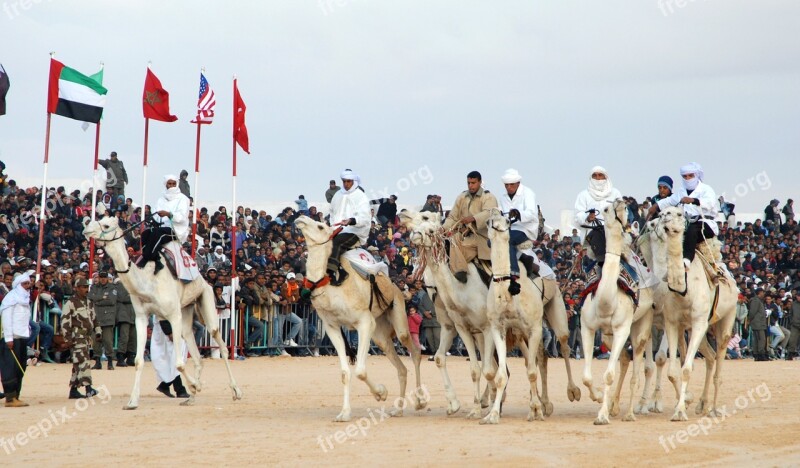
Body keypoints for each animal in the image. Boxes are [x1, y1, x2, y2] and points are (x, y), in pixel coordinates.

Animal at [83, 217, 244, 410]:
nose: (86, 228)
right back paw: (191, 398)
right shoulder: (141, 317)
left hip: (205, 296)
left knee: (219, 341)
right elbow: (138, 360)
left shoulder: (173, 315)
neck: (148, 283)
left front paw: (195, 385)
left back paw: (236, 391)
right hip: (186, 309)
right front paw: (132, 402)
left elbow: (179, 363)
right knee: (196, 351)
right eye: (100, 218)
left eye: (106, 224)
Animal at [292, 216, 424, 424]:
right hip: (380, 333)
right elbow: (345, 373)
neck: (330, 284)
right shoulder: (332, 326)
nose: (301, 219)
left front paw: (381, 393)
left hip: (398, 314)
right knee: (400, 366)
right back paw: (398, 410)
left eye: (320, 226)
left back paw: (419, 402)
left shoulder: (364, 322)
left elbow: (360, 370)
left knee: (415, 351)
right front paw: (344, 413)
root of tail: (396, 286)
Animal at [648, 207, 736, 420]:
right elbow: (673, 370)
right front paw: (681, 405)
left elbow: (686, 369)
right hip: (696, 329)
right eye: (662, 213)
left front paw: (679, 410)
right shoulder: (672, 322)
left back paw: (714, 409)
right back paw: (702, 404)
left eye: (679, 214)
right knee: (710, 356)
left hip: (725, 319)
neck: (683, 289)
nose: (664, 218)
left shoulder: (697, 322)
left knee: (719, 361)